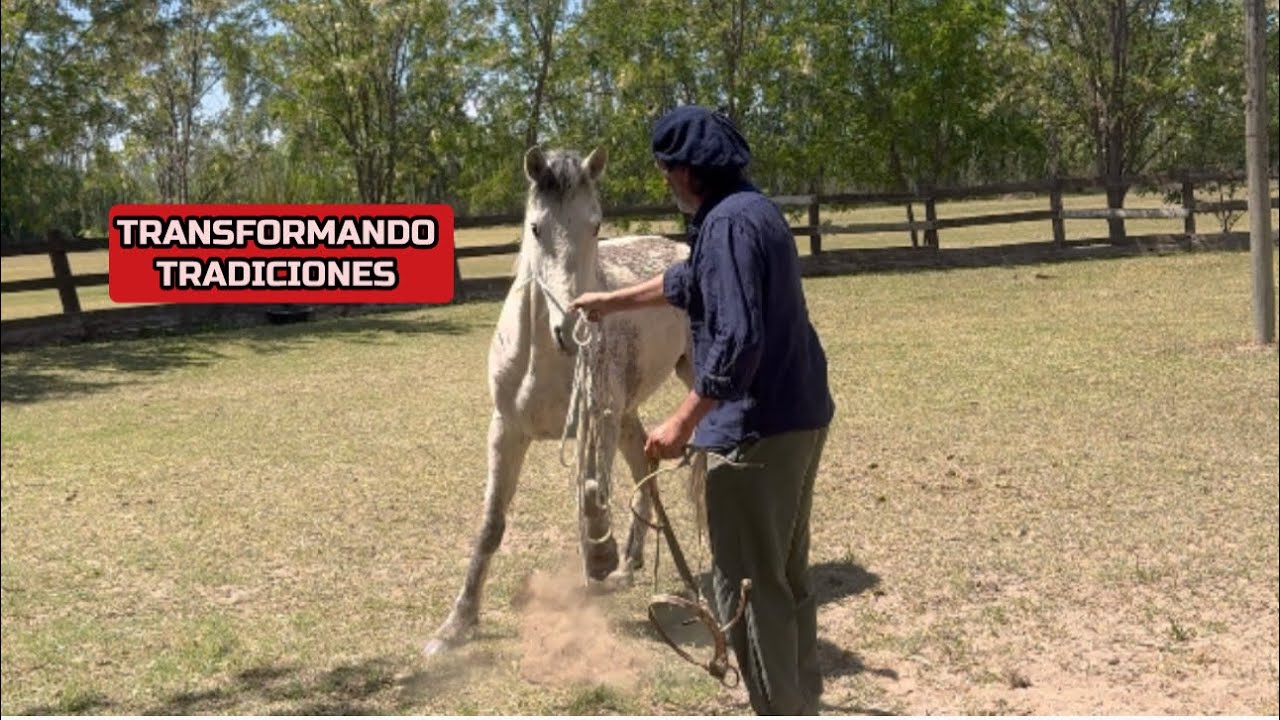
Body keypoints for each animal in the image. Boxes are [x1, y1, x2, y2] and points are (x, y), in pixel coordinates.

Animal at [425, 145, 694, 655]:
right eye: (535, 228)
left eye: (596, 224)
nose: (570, 328)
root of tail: (684, 248)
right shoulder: (506, 431)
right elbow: (491, 524)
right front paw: (456, 625)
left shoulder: (597, 418)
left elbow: (591, 493)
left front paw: (599, 558)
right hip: (627, 414)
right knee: (644, 469)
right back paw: (630, 564)